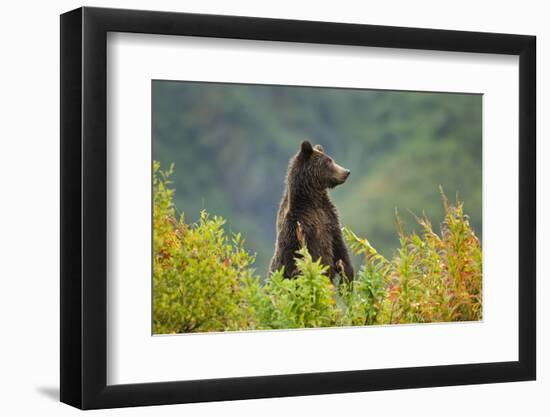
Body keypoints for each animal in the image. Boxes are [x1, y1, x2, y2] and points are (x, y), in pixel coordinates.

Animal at [270, 141, 356, 282]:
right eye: (328, 162)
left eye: (332, 160)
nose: (346, 172)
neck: (312, 200)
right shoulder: (298, 226)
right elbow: (295, 257)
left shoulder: (329, 219)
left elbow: (339, 247)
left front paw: (347, 275)